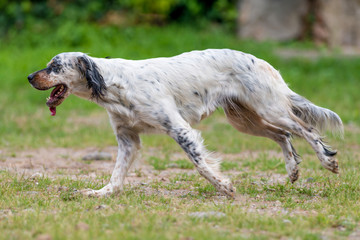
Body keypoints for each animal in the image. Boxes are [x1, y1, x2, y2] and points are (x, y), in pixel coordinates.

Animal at [28, 48, 344, 197]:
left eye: (54, 67)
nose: (30, 77)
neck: (115, 85)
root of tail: (262, 61)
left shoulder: (179, 129)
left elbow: (201, 164)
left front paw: (224, 187)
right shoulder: (128, 140)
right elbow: (116, 176)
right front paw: (100, 193)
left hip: (270, 109)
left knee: (306, 129)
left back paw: (327, 161)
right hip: (246, 120)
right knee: (282, 136)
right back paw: (292, 170)